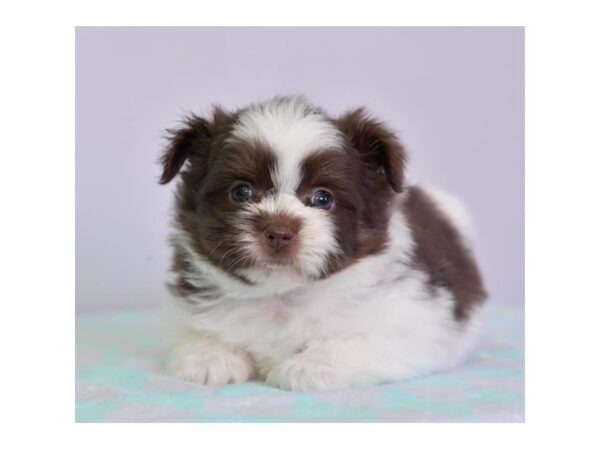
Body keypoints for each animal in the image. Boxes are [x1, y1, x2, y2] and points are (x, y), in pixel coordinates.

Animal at [159, 96, 488, 392]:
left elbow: (356, 340)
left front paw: (311, 366)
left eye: (322, 198)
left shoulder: (412, 320)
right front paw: (210, 357)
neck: (281, 295)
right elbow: (191, 330)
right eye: (241, 192)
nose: (279, 232)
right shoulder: (183, 308)